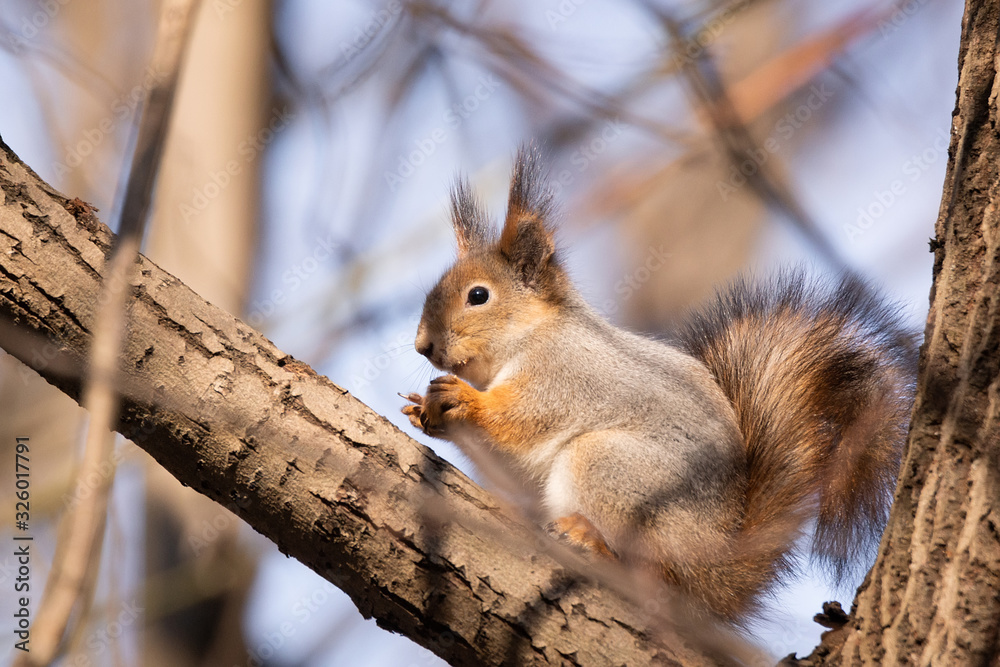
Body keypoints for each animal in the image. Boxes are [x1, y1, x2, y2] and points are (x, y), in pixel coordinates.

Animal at [401, 146, 917, 620]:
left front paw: (463, 400)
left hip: (615, 471)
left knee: (655, 577)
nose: (422, 345)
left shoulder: (561, 377)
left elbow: (518, 420)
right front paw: (422, 410)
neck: (531, 335)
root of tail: (713, 570)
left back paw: (593, 541)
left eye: (478, 296)